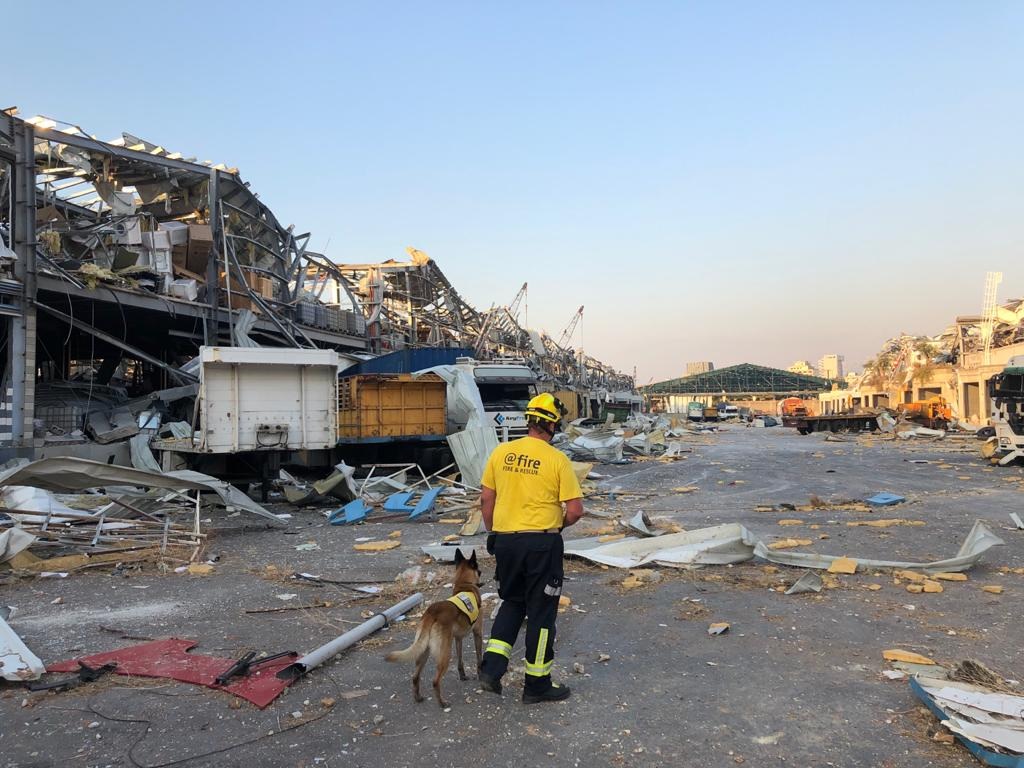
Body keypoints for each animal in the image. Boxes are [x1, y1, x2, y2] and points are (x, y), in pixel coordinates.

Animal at [385, 552, 485, 708]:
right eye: (479, 571)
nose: (481, 578)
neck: (465, 585)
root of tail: (431, 613)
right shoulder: (478, 633)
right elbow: (479, 659)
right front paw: (480, 675)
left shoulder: (457, 638)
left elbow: (460, 661)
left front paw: (463, 675)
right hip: (444, 654)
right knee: (435, 681)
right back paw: (442, 703)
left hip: (423, 651)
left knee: (415, 677)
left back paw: (418, 697)